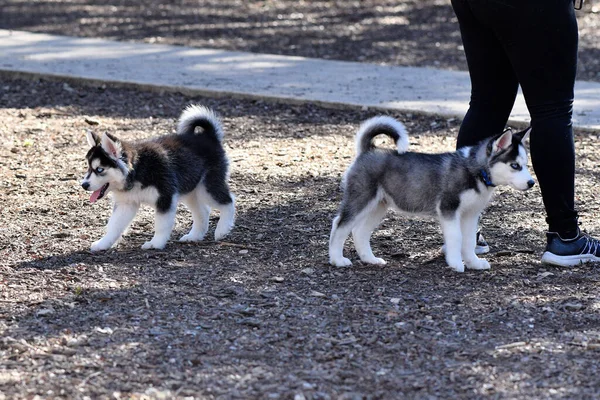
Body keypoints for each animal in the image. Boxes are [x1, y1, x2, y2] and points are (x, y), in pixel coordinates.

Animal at [81, 104, 236, 252]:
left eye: (99, 169)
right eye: (88, 168)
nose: (84, 185)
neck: (138, 170)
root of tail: (208, 136)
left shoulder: (165, 197)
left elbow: (161, 225)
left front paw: (155, 243)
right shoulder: (126, 204)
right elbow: (114, 226)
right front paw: (103, 243)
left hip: (207, 188)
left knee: (228, 201)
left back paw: (222, 229)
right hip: (191, 190)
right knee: (203, 211)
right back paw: (194, 236)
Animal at [328, 115, 536, 272]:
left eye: (525, 165)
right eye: (514, 165)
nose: (532, 183)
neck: (475, 171)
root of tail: (368, 150)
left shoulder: (470, 214)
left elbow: (469, 240)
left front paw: (474, 263)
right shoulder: (448, 209)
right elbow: (456, 238)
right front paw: (456, 263)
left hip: (378, 206)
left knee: (359, 231)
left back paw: (370, 259)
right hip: (361, 198)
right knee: (340, 225)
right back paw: (337, 259)